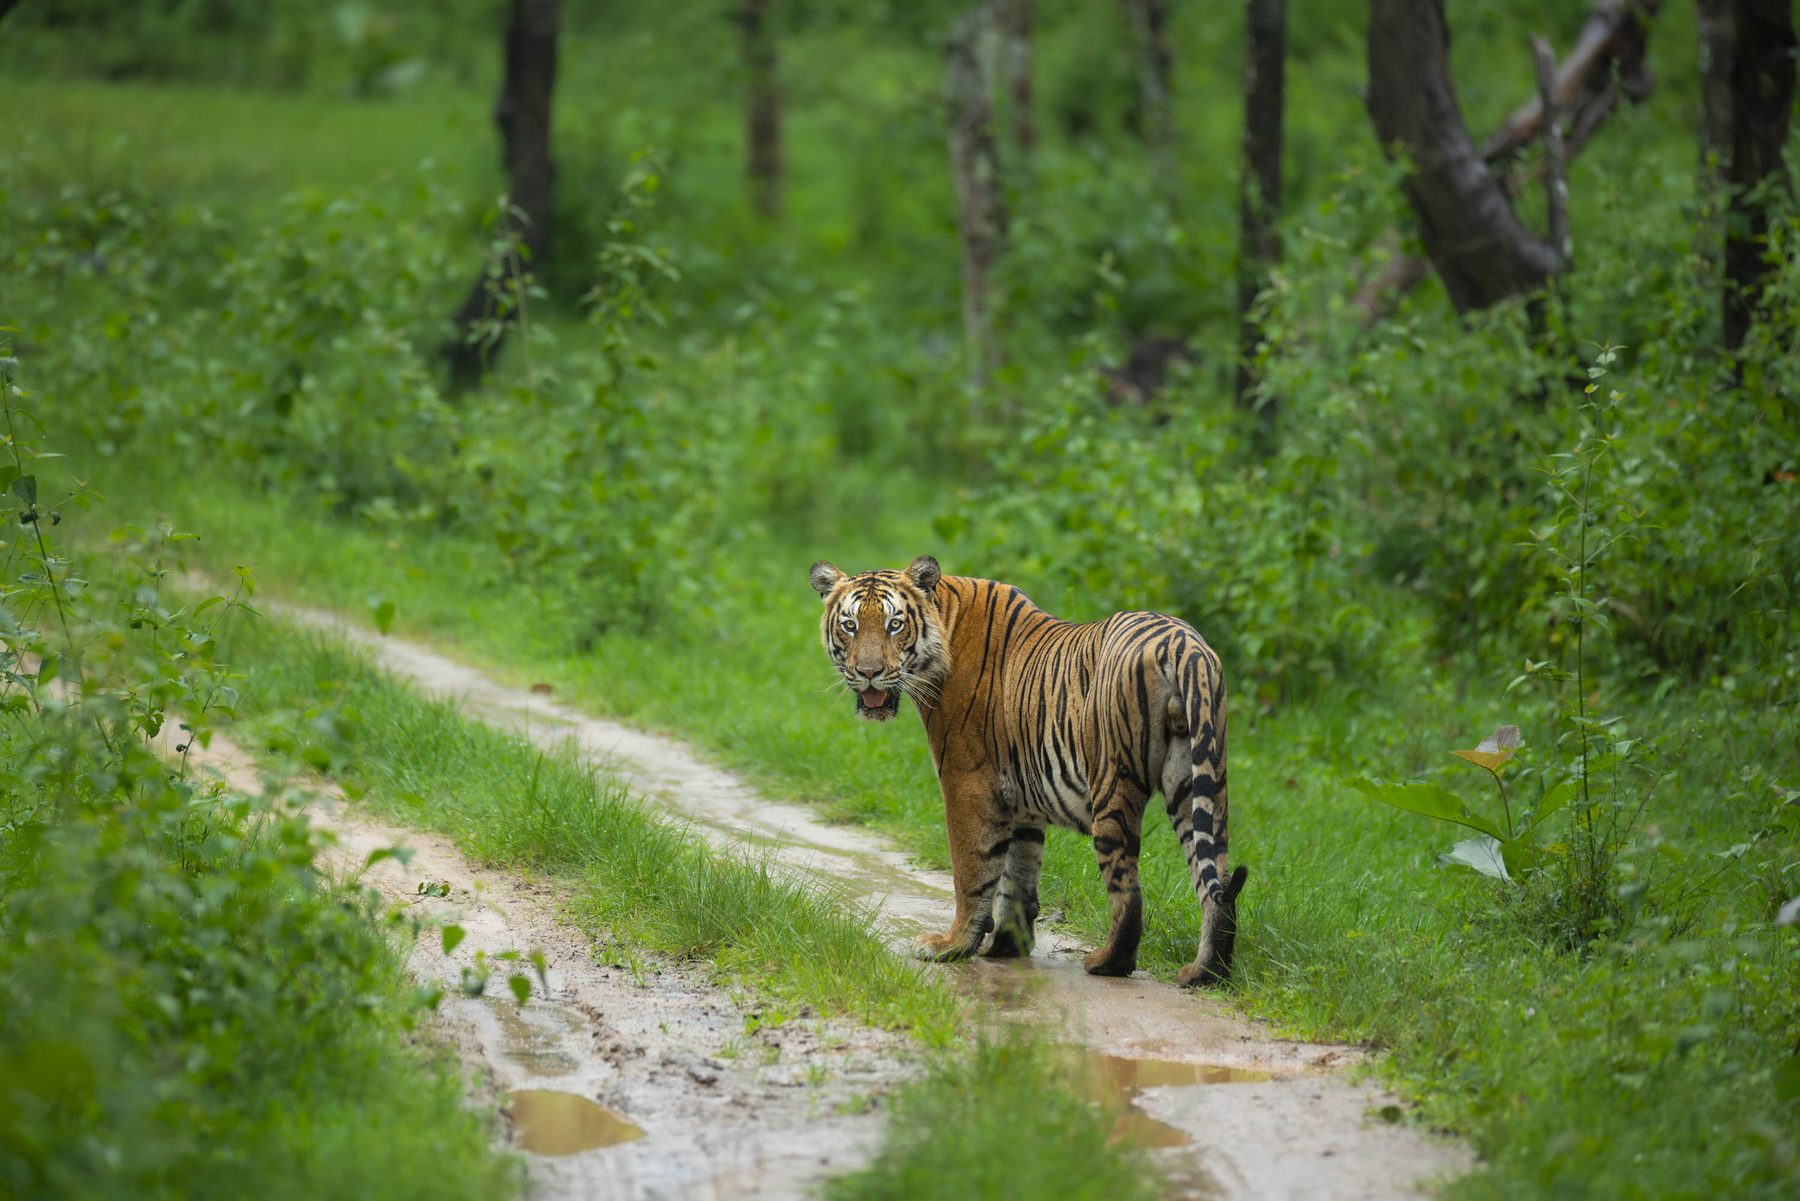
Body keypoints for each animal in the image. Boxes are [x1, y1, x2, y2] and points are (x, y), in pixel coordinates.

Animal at [809, 555, 1248, 986]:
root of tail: (1184, 644)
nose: (868, 673)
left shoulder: (967, 783)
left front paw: (952, 945)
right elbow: (1017, 875)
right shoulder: (1020, 800)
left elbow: (972, 871)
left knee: (1129, 889)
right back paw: (1205, 971)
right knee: (1216, 880)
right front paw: (1006, 945)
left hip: (1113, 782)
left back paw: (1107, 963)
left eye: (894, 624)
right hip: (1197, 782)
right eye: (850, 625)